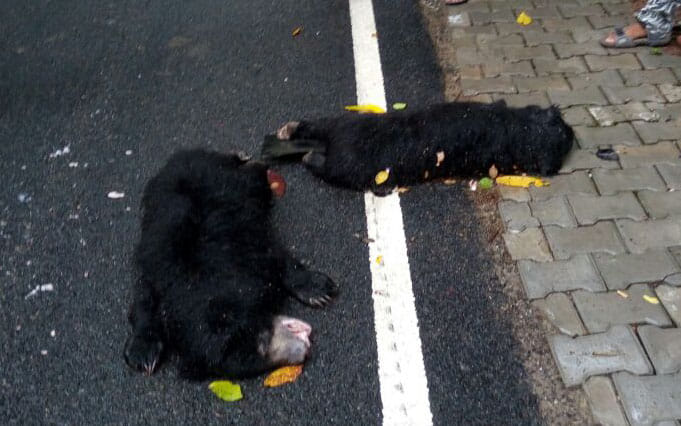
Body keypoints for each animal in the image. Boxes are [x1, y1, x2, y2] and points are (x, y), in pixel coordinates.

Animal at [123, 149, 337, 379]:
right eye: (254, 360)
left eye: (262, 339)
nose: (303, 351)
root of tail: (183, 154)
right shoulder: (155, 269)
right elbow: (144, 301)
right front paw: (143, 351)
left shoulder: (240, 241)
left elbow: (275, 256)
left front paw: (316, 288)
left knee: (254, 176)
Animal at [261, 101, 574, 195]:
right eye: (565, 135)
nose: (572, 132)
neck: (518, 128)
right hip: (347, 165)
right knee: (319, 164)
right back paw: (305, 152)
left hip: (340, 124)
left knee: (314, 126)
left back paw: (288, 131)